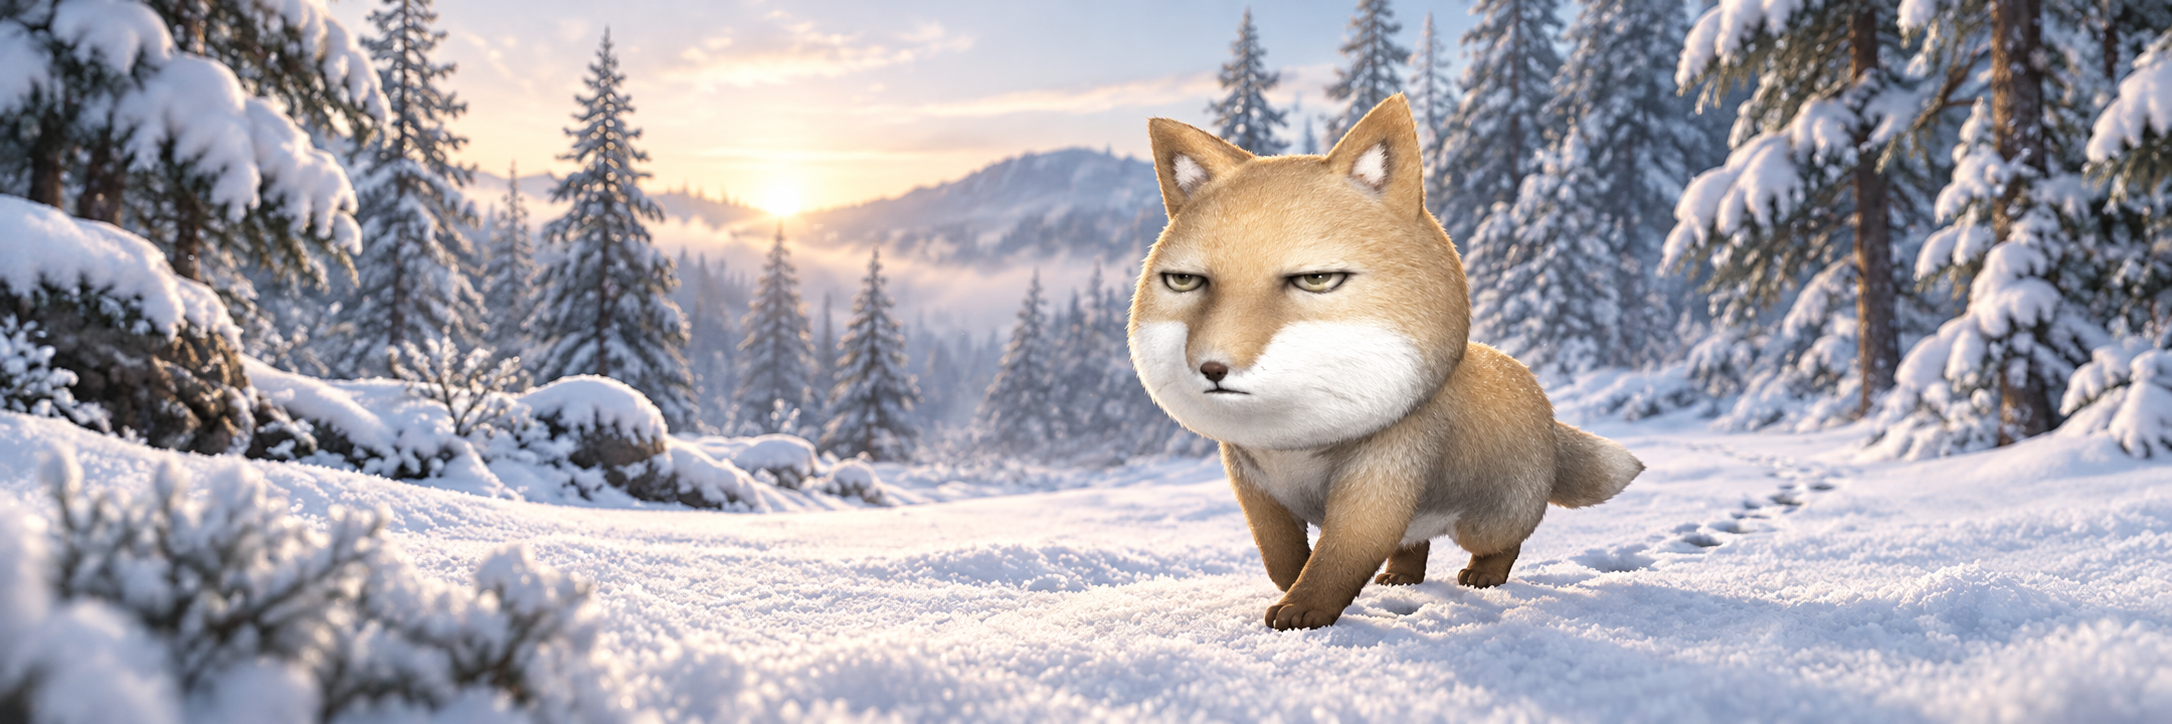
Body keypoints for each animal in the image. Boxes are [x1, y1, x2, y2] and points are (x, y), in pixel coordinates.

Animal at [1128, 94, 1644, 630]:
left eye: (1316, 279)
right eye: (1185, 281)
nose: (1211, 367)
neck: (1295, 449)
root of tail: (1534, 386)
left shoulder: (1378, 488)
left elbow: (1337, 558)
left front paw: (1304, 608)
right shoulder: (1257, 492)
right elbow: (1281, 557)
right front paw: (1291, 588)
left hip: (1486, 521)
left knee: (1505, 541)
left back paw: (1485, 575)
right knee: (1415, 545)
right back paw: (1401, 576)